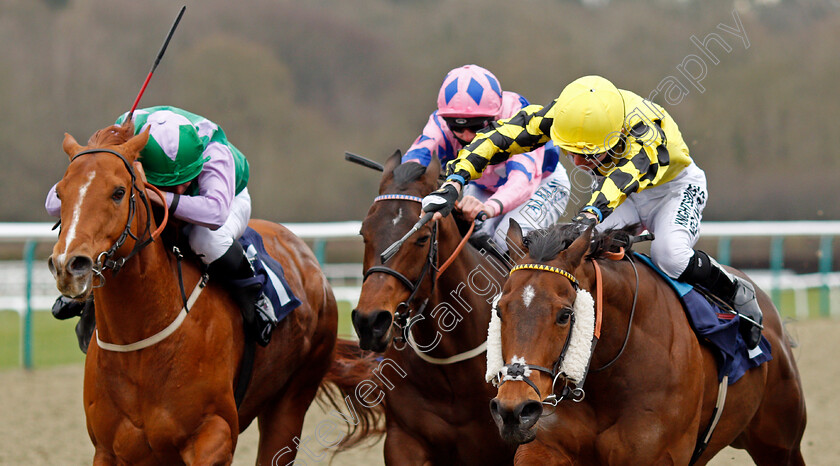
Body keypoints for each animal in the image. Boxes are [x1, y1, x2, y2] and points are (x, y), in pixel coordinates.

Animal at [48, 123, 378, 462]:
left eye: (118, 192)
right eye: (60, 192)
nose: (69, 265)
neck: (137, 344)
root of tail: (308, 259)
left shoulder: (212, 436)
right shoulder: (109, 450)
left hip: (292, 399)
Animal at [492, 223, 808, 466]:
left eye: (564, 315)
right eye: (499, 310)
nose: (514, 410)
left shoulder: (658, 455)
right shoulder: (545, 446)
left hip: (780, 443)